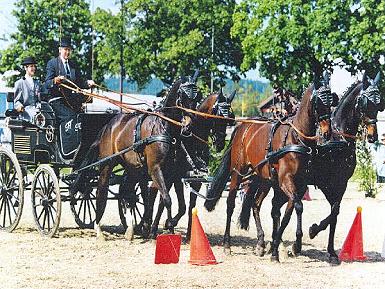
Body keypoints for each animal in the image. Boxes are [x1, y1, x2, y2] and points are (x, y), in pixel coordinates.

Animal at [70, 75, 201, 238]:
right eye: (182, 95)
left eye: (197, 96)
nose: (189, 126)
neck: (164, 128)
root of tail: (107, 126)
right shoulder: (155, 168)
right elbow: (167, 199)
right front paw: (166, 229)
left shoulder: (173, 173)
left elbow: (173, 203)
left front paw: (165, 226)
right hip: (107, 164)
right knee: (102, 191)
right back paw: (99, 227)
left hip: (133, 168)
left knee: (129, 193)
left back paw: (133, 228)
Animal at [144, 89, 234, 237]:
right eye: (218, 115)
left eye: (230, 118)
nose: (221, 143)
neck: (193, 142)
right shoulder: (177, 178)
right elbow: (180, 205)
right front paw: (169, 223)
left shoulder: (196, 180)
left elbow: (191, 206)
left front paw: (188, 233)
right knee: (155, 194)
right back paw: (149, 226)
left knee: (155, 193)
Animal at [204, 73, 332, 260]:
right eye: (318, 102)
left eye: (332, 100)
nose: (327, 132)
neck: (295, 137)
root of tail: (242, 127)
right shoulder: (286, 181)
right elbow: (297, 207)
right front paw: (292, 245)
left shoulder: (299, 185)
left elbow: (288, 211)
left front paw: (279, 246)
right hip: (238, 172)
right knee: (230, 204)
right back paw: (227, 244)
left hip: (262, 179)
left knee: (255, 204)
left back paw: (260, 243)